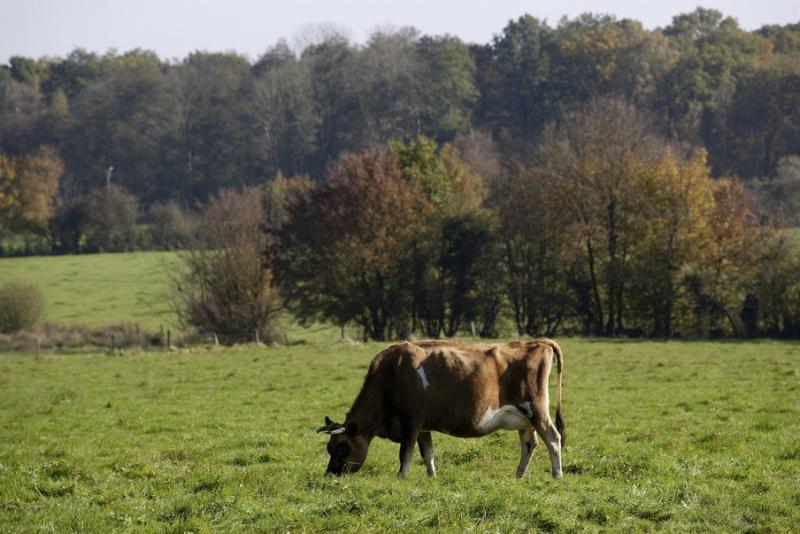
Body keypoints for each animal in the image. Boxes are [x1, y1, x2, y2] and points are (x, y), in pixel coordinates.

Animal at [316, 342, 564, 484]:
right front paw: (432, 477)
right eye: (329, 448)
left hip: (537, 410)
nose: (330, 475)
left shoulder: (411, 421)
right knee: (529, 444)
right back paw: (519, 476)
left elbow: (405, 453)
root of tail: (537, 342)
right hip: (524, 418)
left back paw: (557, 475)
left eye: (343, 448)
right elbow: (428, 453)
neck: (391, 372)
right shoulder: (423, 426)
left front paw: (401, 478)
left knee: (553, 439)